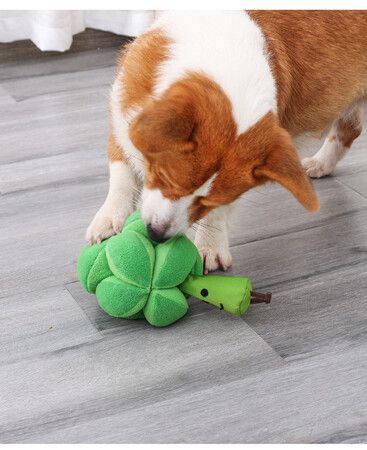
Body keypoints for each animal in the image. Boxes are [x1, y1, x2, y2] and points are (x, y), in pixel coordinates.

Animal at [87, 9, 367, 270]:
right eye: (164, 177)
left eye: (206, 202)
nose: (157, 235)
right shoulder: (121, 118)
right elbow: (121, 178)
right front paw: (108, 221)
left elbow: (217, 216)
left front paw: (209, 248)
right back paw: (320, 164)